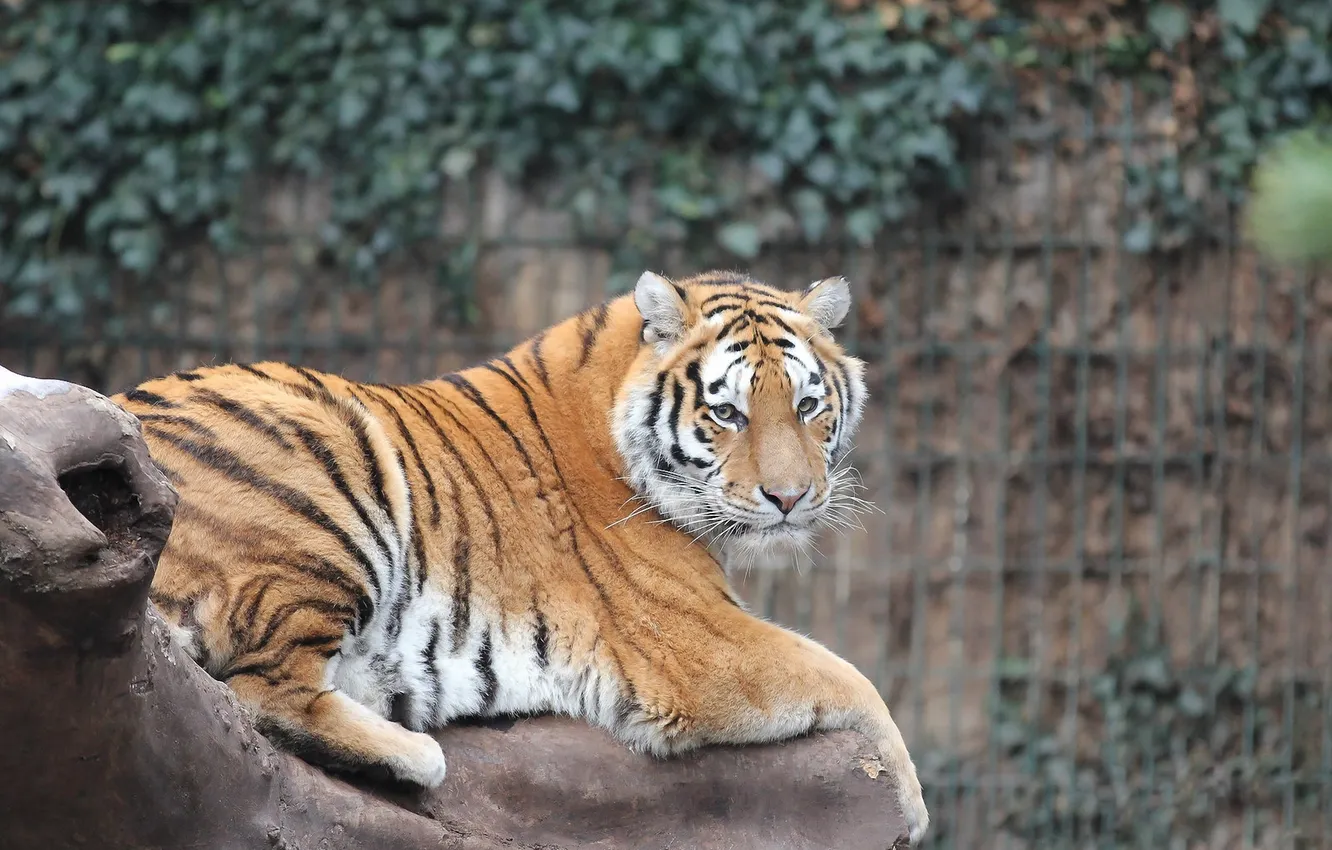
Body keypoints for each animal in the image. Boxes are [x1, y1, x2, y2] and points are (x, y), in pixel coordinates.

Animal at [113, 269, 929, 844]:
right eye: (726, 412)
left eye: (807, 406)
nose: (790, 498)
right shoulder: (695, 644)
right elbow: (854, 682)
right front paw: (915, 807)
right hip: (330, 465)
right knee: (262, 691)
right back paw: (416, 752)